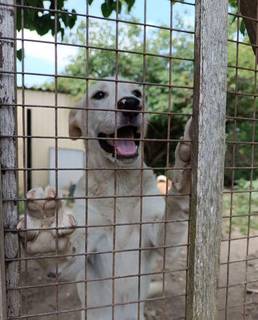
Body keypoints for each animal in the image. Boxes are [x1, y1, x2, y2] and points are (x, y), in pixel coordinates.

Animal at [17, 78, 191, 320]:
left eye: (138, 93)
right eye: (99, 95)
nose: (131, 104)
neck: (119, 183)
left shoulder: (159, 237)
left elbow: (174, 212)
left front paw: (185, 170)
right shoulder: (82, 249)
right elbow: (58, 259)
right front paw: (44, 224)